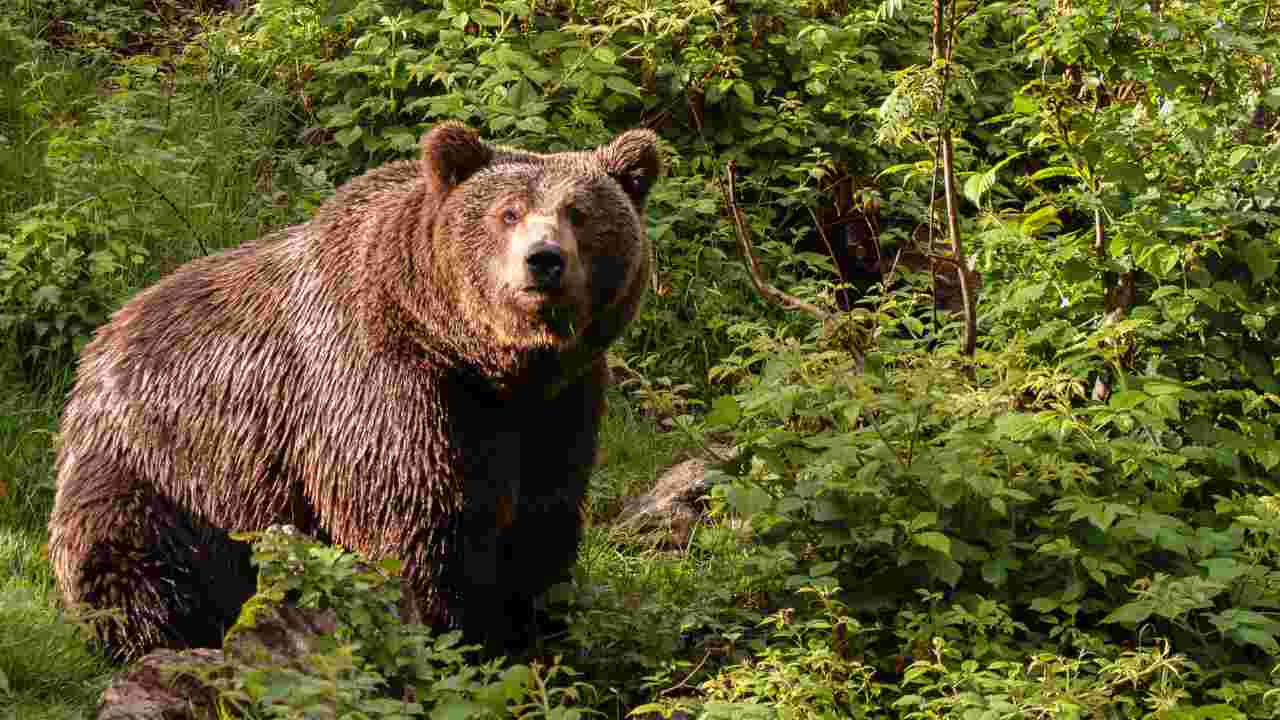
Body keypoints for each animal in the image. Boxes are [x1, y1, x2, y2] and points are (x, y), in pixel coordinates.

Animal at [47, 120, 660, 661]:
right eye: (507, 212)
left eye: (579, 213)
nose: (544, 261)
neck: (483, 360)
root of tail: (102, 339)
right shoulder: (382, 387)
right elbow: (412, 523)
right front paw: (452, 635)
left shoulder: (559, 404)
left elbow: (540, 519)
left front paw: (533, 634)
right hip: (161, 467)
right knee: (130, 560)